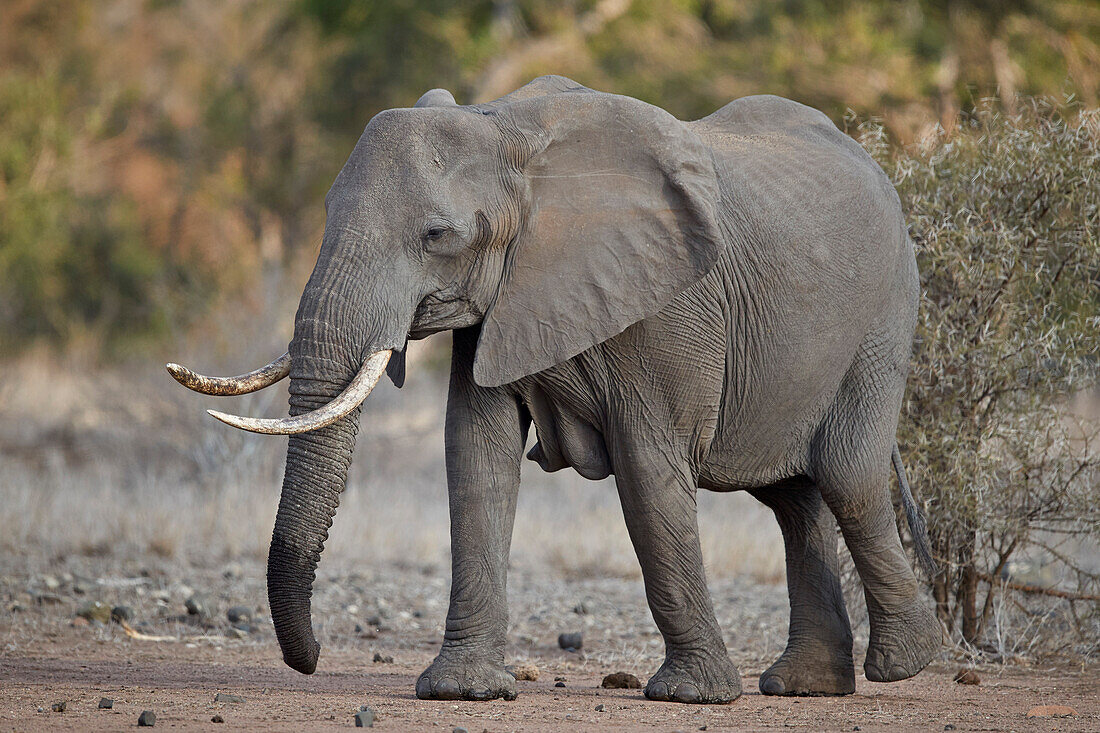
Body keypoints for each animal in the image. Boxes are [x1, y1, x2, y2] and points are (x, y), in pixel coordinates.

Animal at [167, 75, 941, 704]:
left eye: (436, 235)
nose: (314, 658)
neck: (507, 130)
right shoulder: (501, 300)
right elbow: (475, 454)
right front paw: (464, 691)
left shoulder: (667, 309)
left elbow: (648, 471)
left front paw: (691, 696)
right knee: (791, 496)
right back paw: (808, 685)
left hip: (884, 319)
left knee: (844, 473)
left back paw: (903, 665)